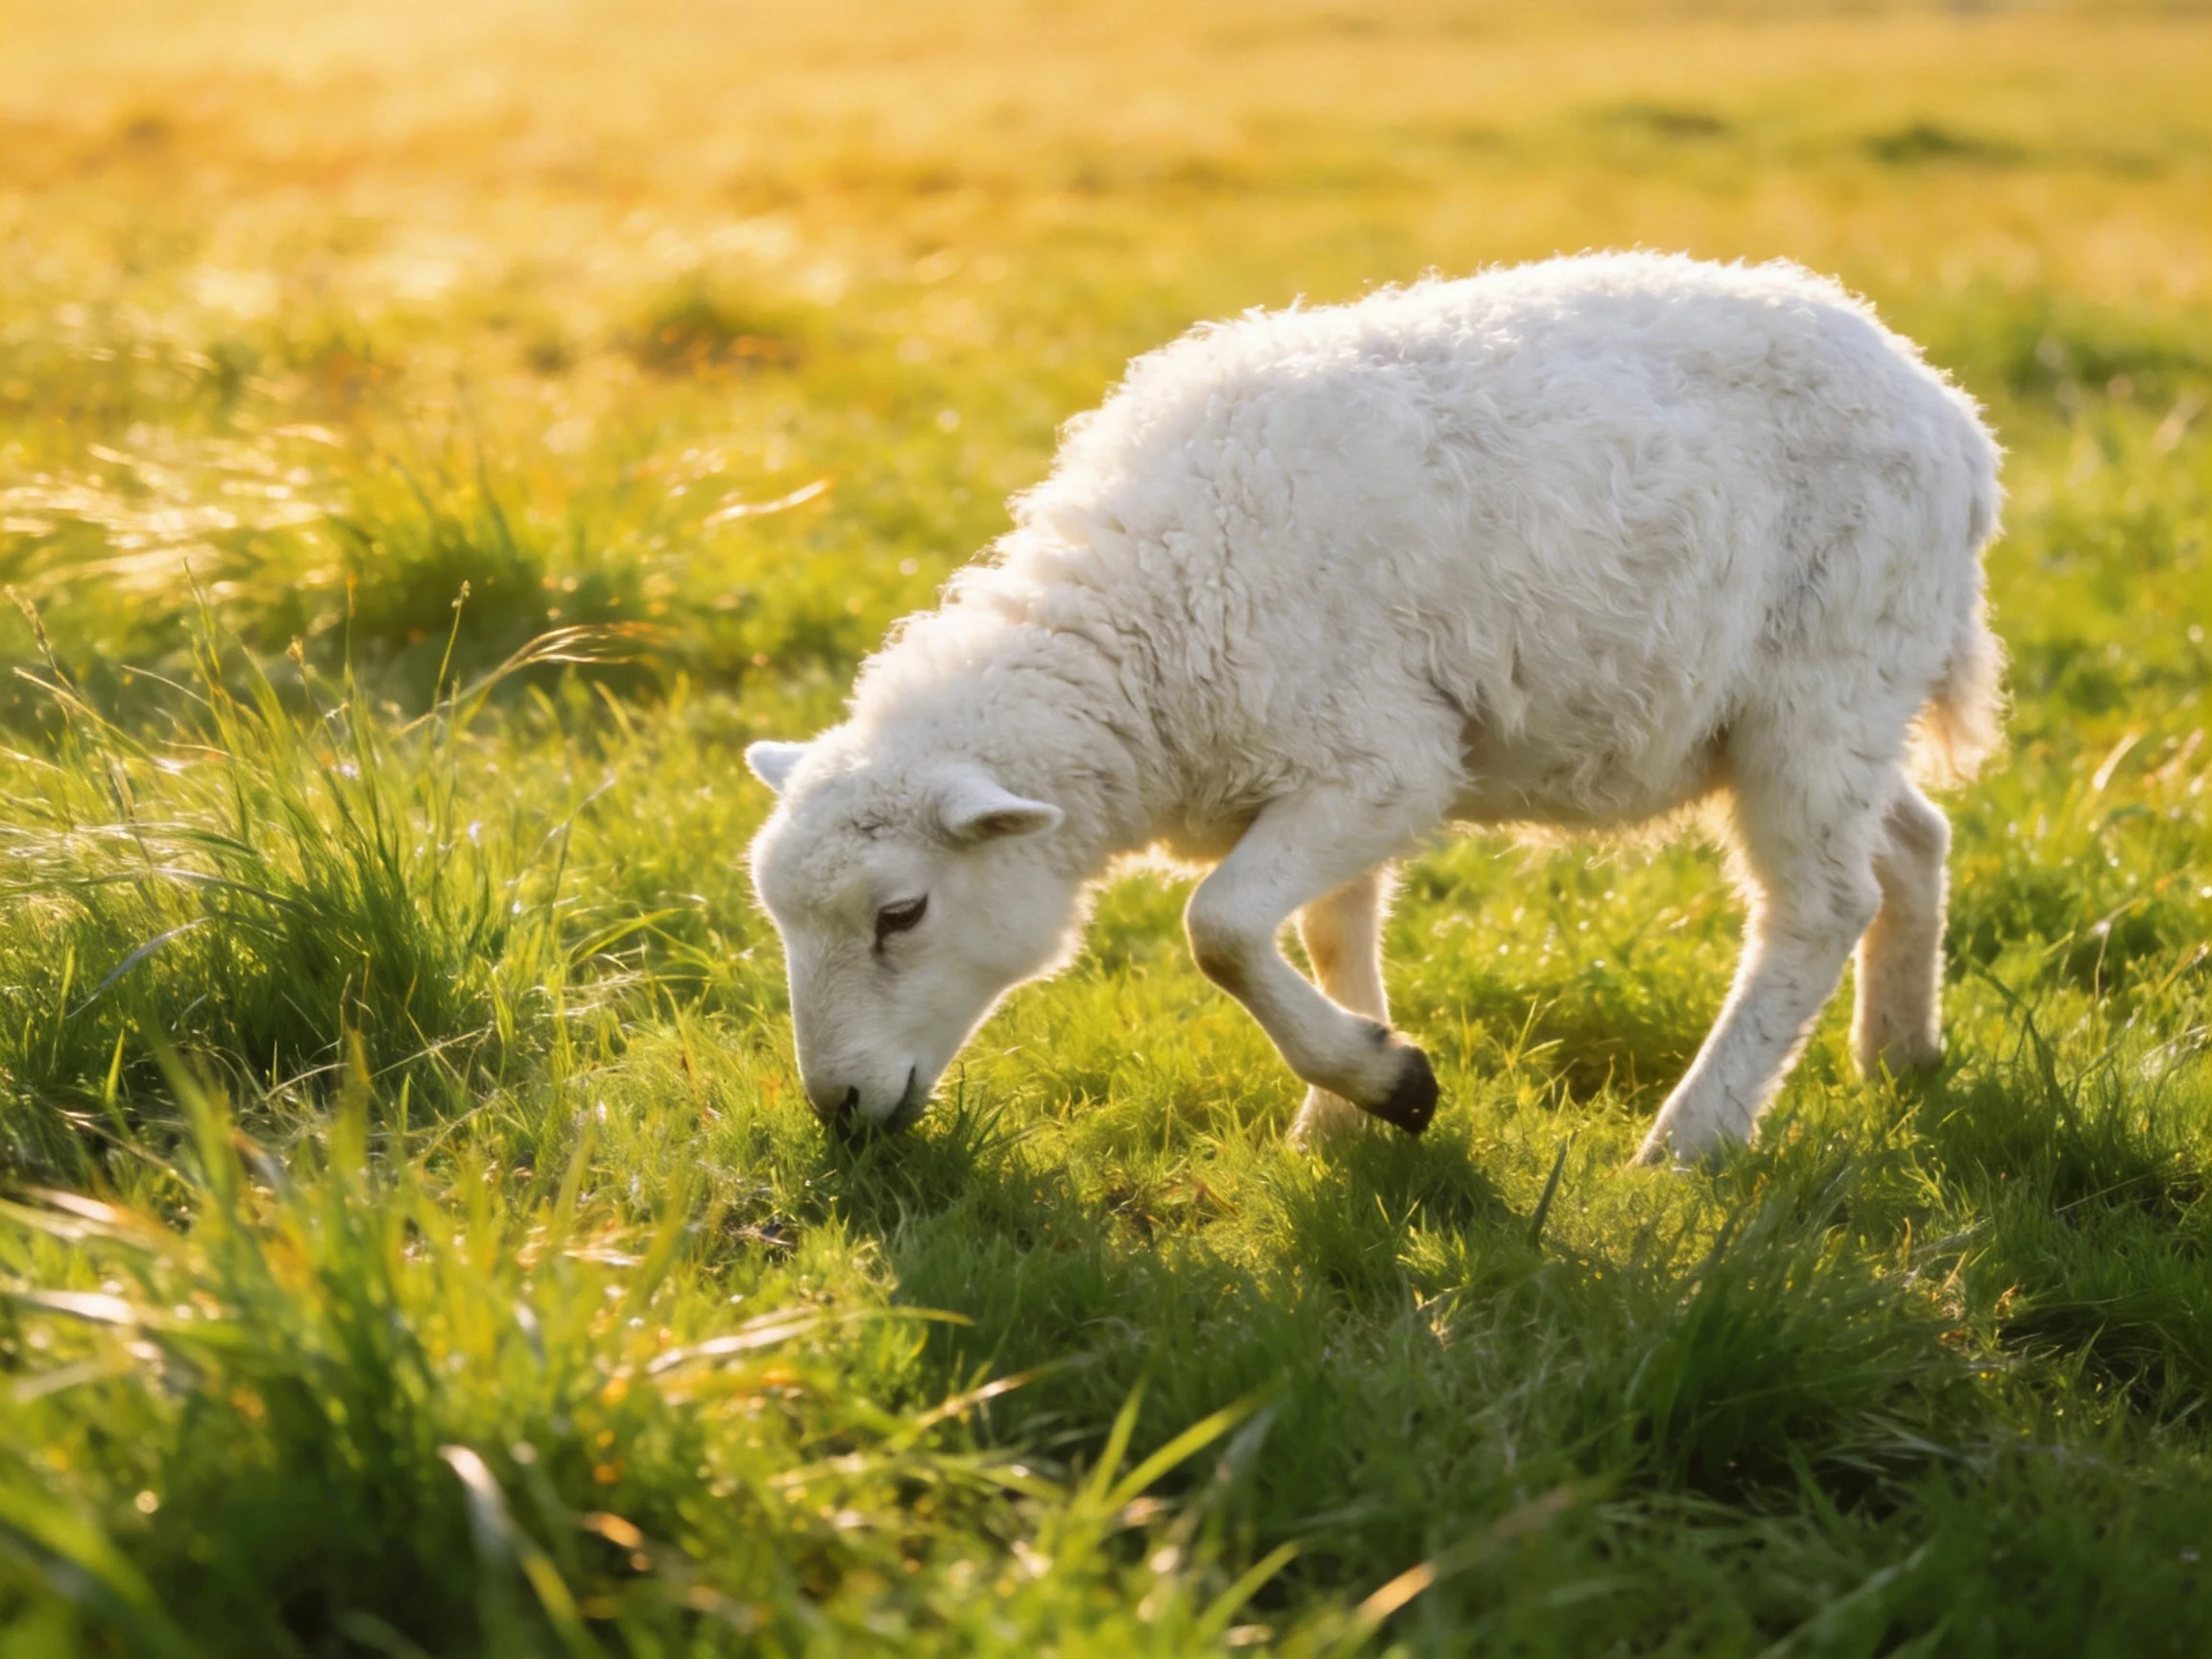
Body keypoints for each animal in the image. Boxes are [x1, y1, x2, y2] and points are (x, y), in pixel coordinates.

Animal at [744, 252, 2004, 1163]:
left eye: (900, 913)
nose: (837, 1108)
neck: (1147, 625)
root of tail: (1950, 411)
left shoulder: (1383, 762)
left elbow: (1220, 929)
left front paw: (1387, 1083)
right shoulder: (1312, 770)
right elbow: (1324, 927)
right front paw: (1345, 1111)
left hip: (1823, 681)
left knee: (1819, 905)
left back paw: (1696, 1135)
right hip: (1846, 703)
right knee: (1912, 844)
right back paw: (1901, 1056)